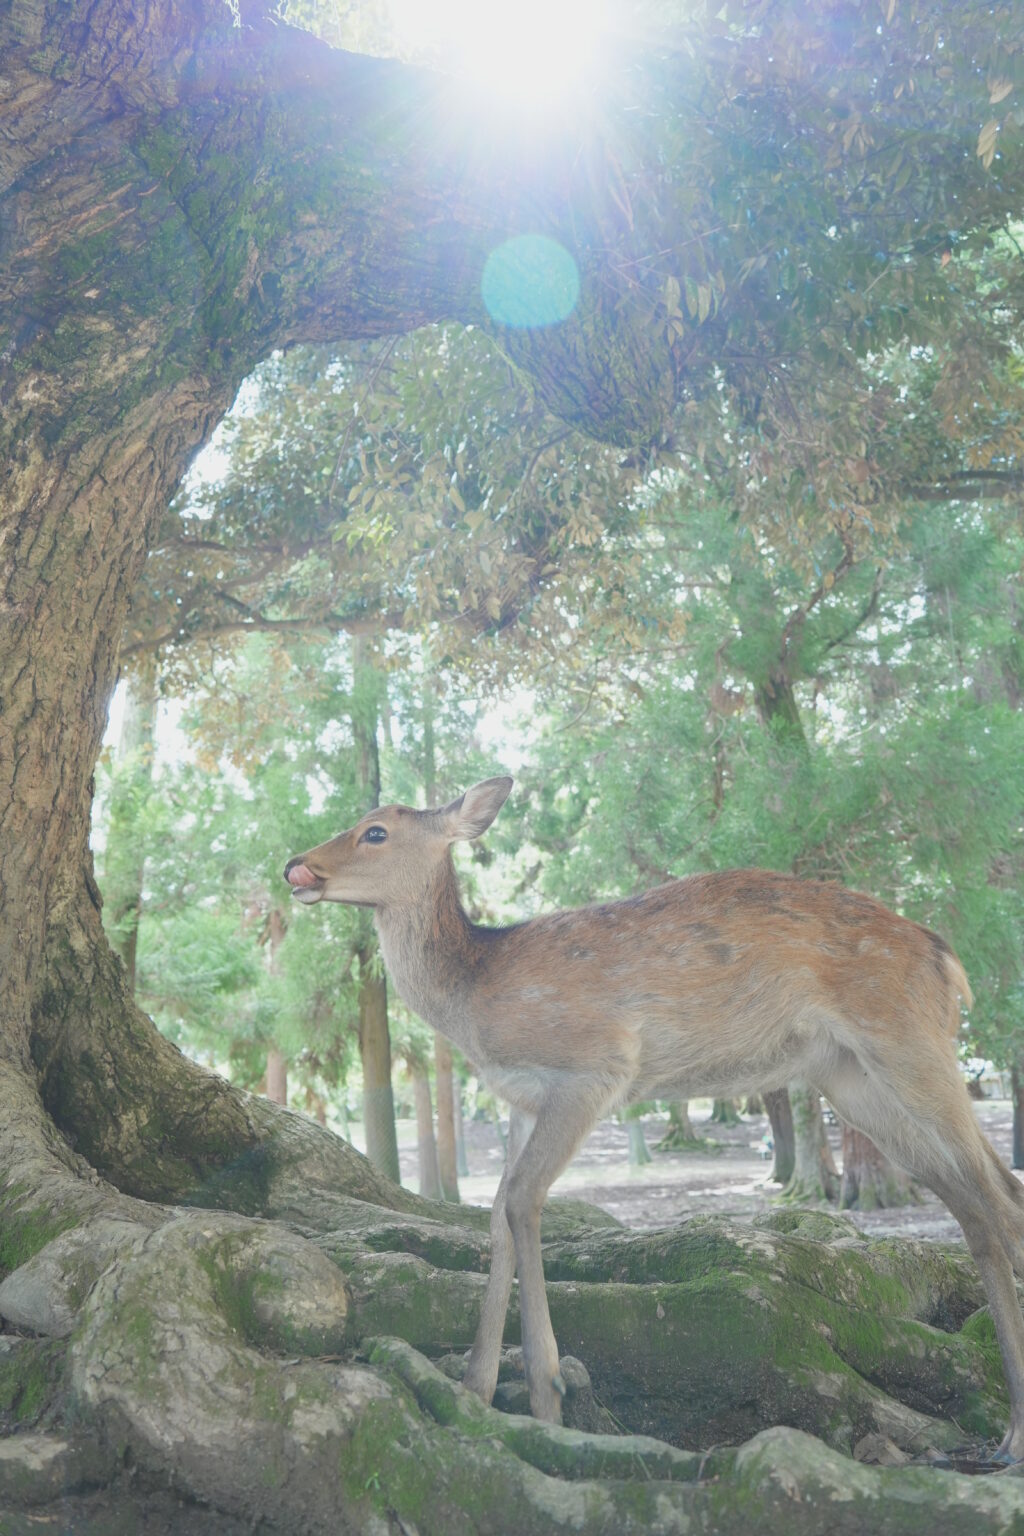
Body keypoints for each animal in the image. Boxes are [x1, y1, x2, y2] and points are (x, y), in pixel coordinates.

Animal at [285, 775, 1024, 1460]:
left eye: (375, 830)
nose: (296, 864)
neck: (475, 993)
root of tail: (949, 962)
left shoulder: (594, 1069)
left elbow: (523, 1201)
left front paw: (548, 1397)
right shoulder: (521, 1100)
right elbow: (493, 1217)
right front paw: (475, 1389)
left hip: (909, 1042)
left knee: (993, 1193)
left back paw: (1014, 1430)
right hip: (852, 1078)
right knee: (984, 1200)